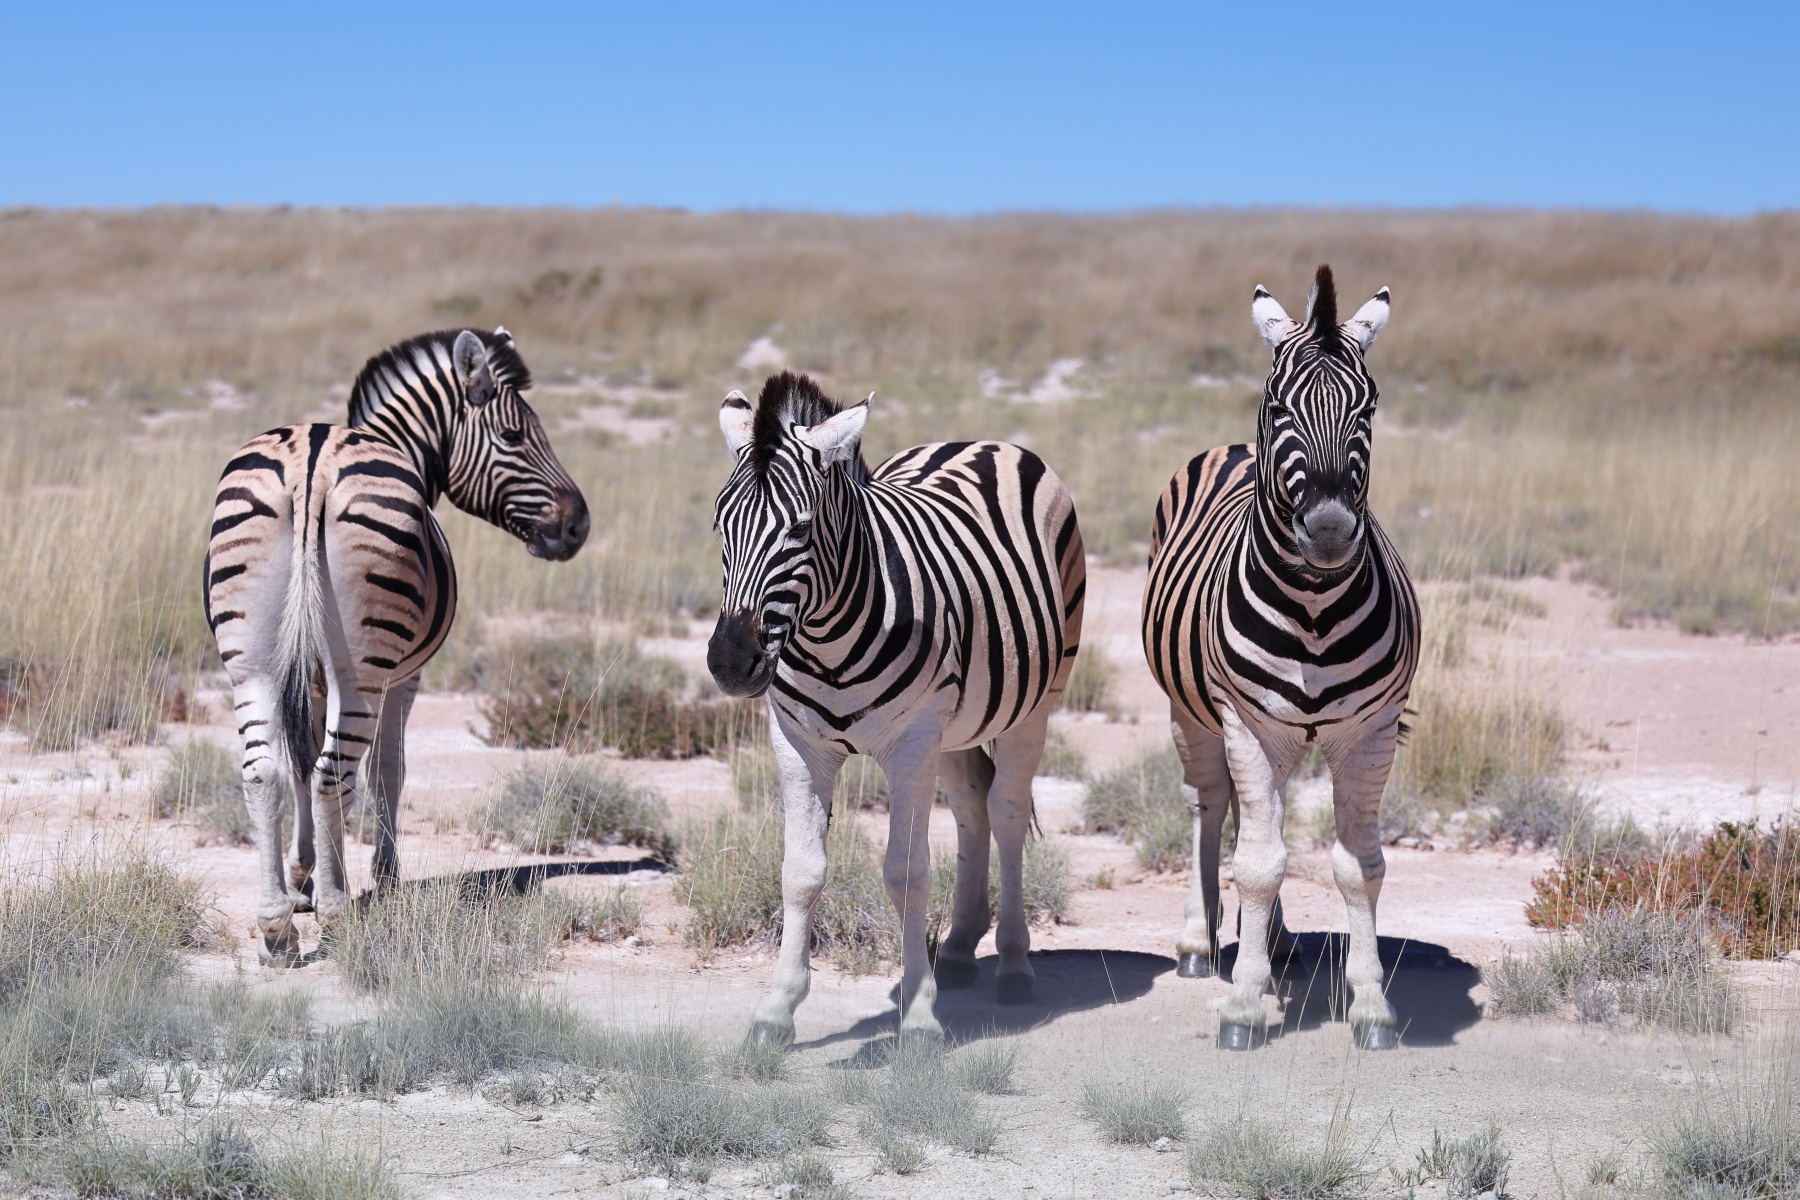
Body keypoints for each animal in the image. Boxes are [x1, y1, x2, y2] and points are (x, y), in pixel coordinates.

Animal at [204, 327, 588, 966]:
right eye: (514, 435)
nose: (579, 526)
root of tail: (311, 460)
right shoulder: (404, 677)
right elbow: (389, 770)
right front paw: (378, 878)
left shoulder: (309, 678)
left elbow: (301, 763)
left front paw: (303, 876)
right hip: (363, 668)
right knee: (336, 773)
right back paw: (337, 913)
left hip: (251, 661)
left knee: (265, 773)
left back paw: (276, 928)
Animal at [707, 372, 1085, 1046]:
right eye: (720, 528)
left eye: (800, 530)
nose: (730, 662)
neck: (827, 638)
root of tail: (979, 440)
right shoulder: (797, 744)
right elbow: (801, 872)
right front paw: (776, 1009)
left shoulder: (910, 745)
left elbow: (906, 875)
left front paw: (917, 1016)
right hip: (957, 724)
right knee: (971, 808)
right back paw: (958, 951)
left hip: (1035, 703)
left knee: (1007, 811)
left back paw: (1014, 965)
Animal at [1140, 266, 1419, 1050]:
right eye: (1277, 404)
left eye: (1369, 406)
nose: (1327, 529)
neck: (1314, 611)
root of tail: (1232, 447)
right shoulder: (1247, 721)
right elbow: (1258, 864)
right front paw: (1241, 1005)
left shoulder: (1369, 730)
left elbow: (1359, 866)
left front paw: (1370, 1003)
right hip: (1195, 713)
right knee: (1210, 807)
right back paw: (1201, 945)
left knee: (1262, 815)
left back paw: (1278, 944)